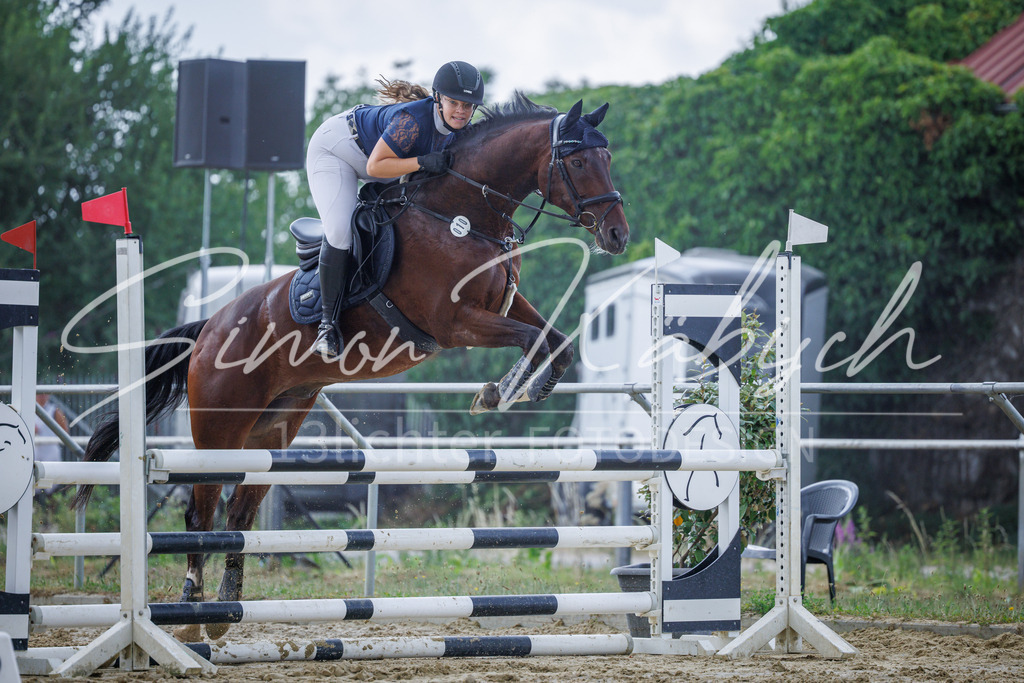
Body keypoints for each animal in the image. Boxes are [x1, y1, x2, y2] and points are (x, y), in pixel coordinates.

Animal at [74, 93, 630, 642]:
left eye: (607, 157)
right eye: (579, 161)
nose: (618, 235)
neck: (461, 213)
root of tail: (209, 326)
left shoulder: (504, 304)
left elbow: (557, 341)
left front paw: (520, 388)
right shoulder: (455, 323)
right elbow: (533, 339)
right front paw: (503, 391)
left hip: (274, 428)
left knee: (240, 509)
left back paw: (224, 610)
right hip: (220, 428)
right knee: (200, 508)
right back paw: (191, 609)